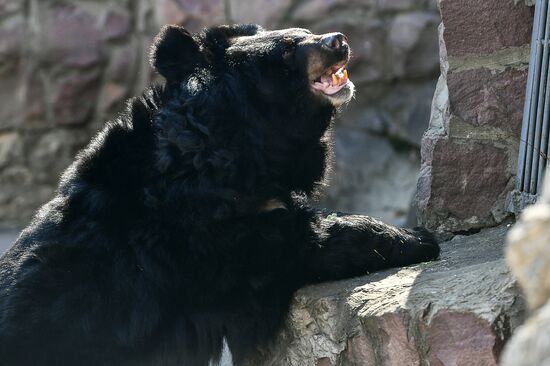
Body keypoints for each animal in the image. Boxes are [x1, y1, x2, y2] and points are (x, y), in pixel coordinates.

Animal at [0, 24, 440, 364]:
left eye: (305, 32)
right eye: (287, 49)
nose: (339, 40)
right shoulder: (203, 240)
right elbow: (300, 241)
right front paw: (418, 238)